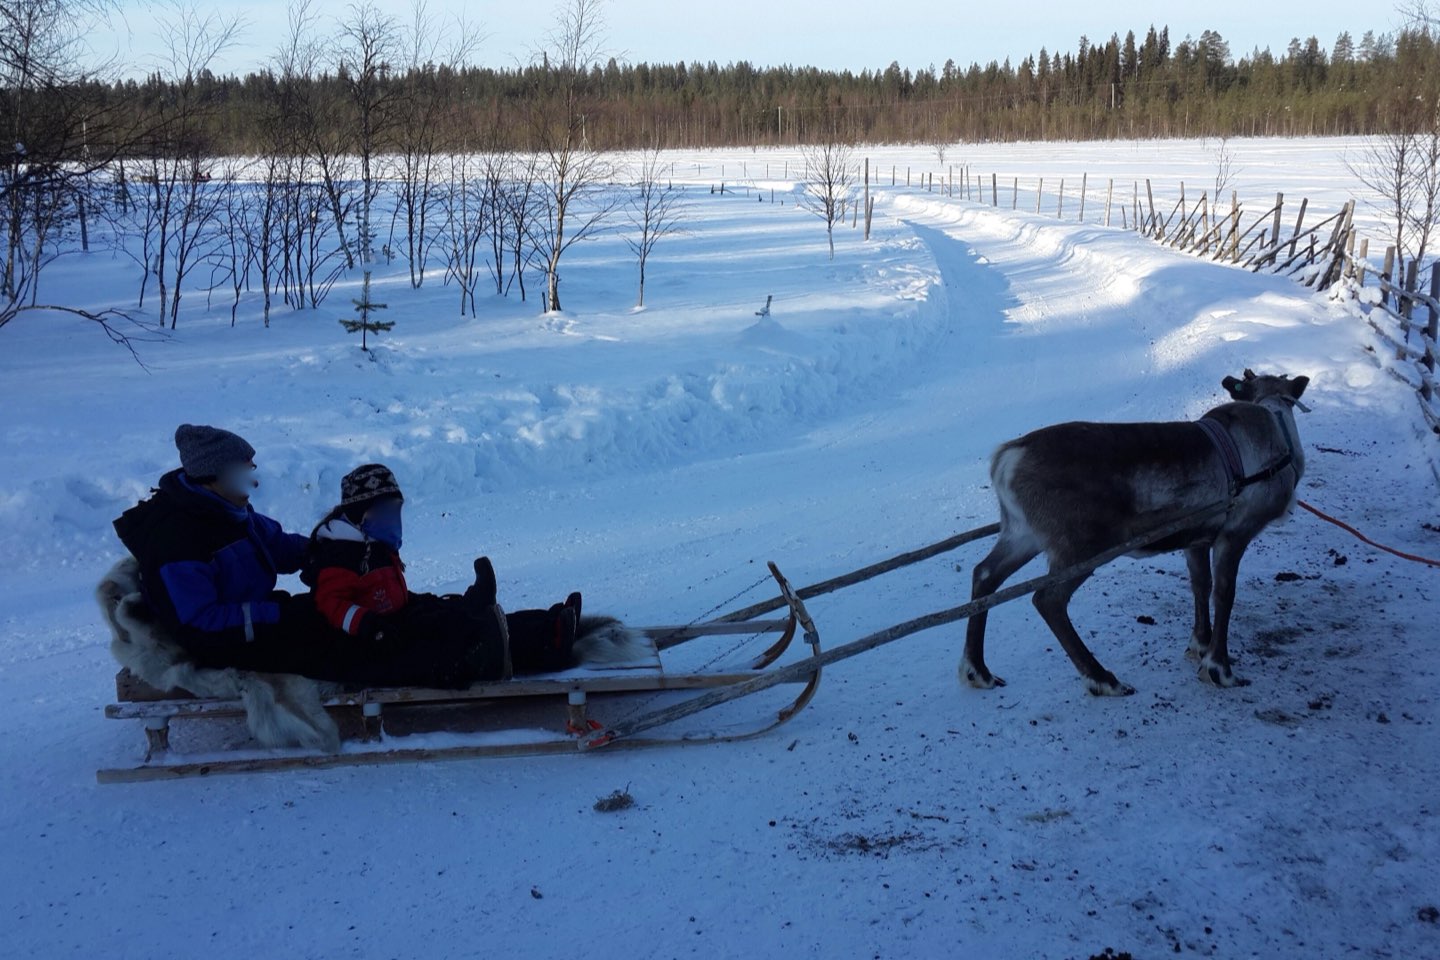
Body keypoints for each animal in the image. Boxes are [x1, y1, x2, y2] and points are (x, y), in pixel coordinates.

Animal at [963, 370, 1310, 696]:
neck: (1279, 433)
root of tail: (1005, 459)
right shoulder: (1235, 531)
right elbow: (1225, 593)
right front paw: (1219, 668)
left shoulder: (1197, 538)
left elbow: (1200, 585)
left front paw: (1200, 645)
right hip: (1083, 546)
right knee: (1048, 599)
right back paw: (1102, 679)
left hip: (1022, 534)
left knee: (985, 574)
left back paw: (978, 670)